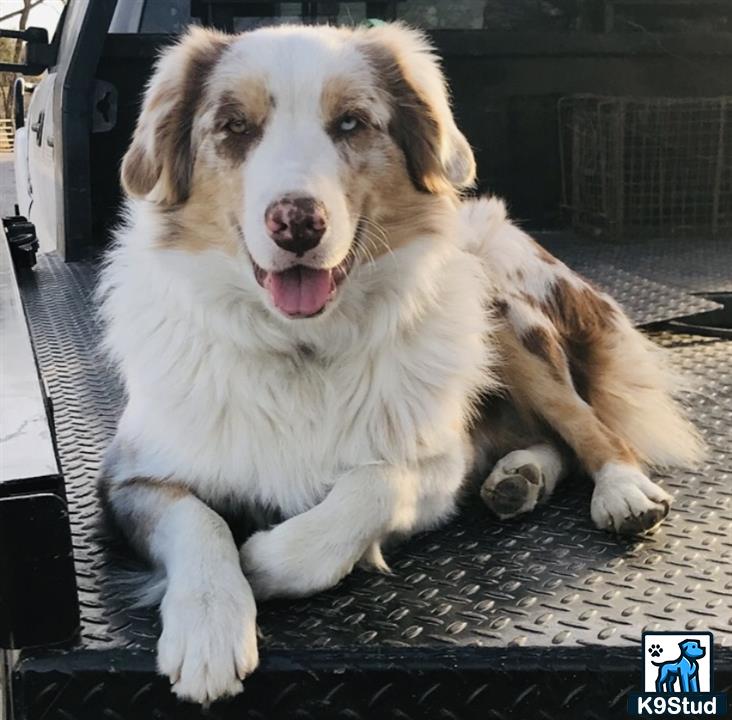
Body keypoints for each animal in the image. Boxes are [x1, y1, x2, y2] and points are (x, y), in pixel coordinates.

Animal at [98, 21, 704, 704]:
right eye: (234, 126)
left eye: (352, 123)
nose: (296, 222)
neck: (302, 349)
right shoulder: (129, 477)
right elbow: (199, 520)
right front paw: (209, 625)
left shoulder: (441, 461)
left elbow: (373, 484)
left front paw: (264, 558)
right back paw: (520, 477)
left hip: (501, 310)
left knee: (586, 424)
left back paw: (621, 491)